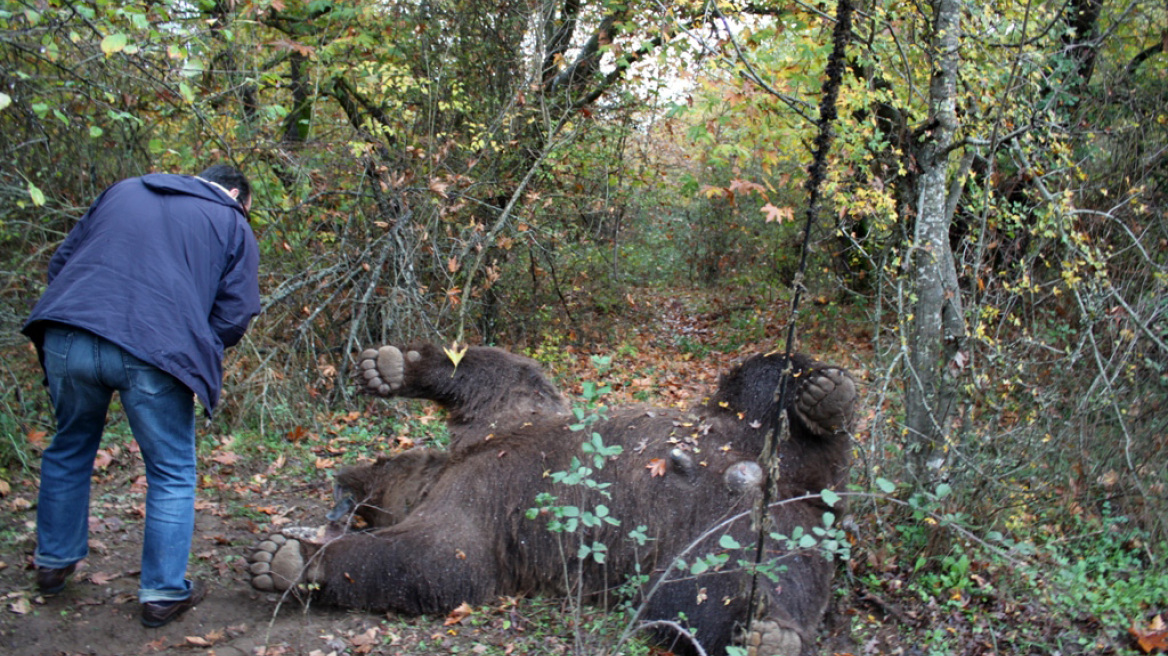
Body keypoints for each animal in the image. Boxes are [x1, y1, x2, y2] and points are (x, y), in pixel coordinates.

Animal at [251, 343, 854, 653]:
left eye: (377, 464)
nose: (341, 485)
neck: (455, 462)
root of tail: (787, 489)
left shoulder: (503, 427)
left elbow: (501, 371)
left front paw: (389, 366)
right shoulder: (482, 506)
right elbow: (433, 561)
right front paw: (284, 557)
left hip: (740, 433)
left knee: (763, 376)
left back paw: (825, 396)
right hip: (724, 543)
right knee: (702, 600)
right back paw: (771, 632)